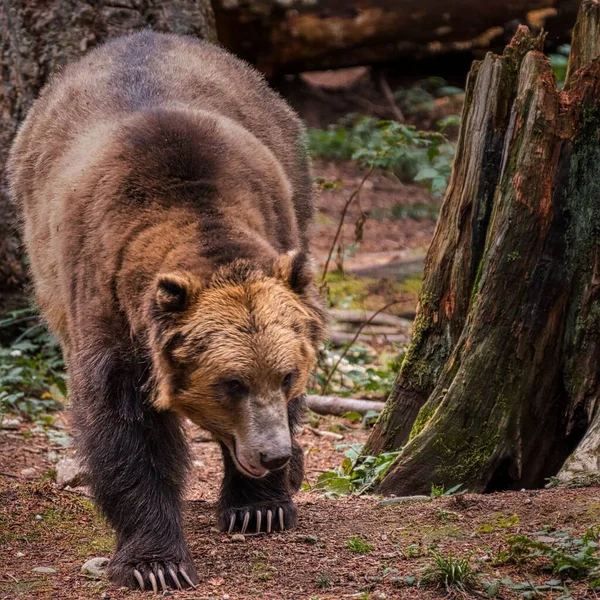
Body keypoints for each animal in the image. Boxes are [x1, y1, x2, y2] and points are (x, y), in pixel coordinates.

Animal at [7, 31, 326, 592]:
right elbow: (125, 425)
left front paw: (259, 507)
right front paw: (156, 563)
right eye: (231, 382)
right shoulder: (111, 301)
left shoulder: (276, 219)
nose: (273, 454)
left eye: (287, 375)